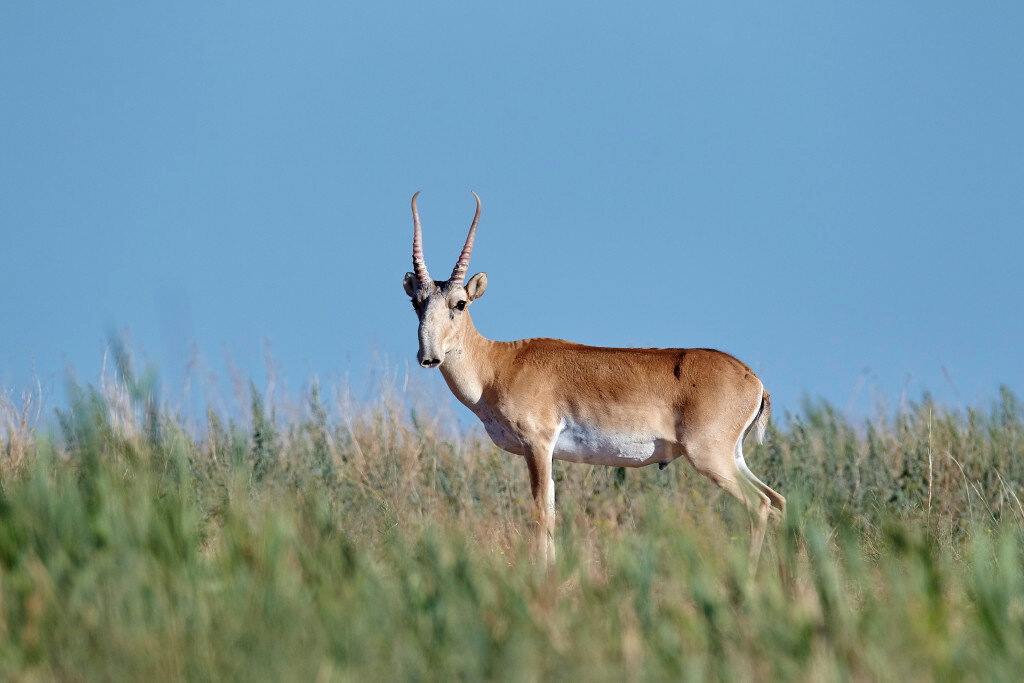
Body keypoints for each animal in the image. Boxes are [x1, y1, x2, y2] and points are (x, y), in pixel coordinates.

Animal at [403, 192, 786, 573]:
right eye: (416, 301)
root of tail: (753, 380)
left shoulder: (537, 445)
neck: (498, 364)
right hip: (734, 456)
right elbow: (550, 512)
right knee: (777, 500)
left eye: (460, 303)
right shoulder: (546, 453)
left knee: (760, 505)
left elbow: (542, 515)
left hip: (710, 457)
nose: (428, 357)